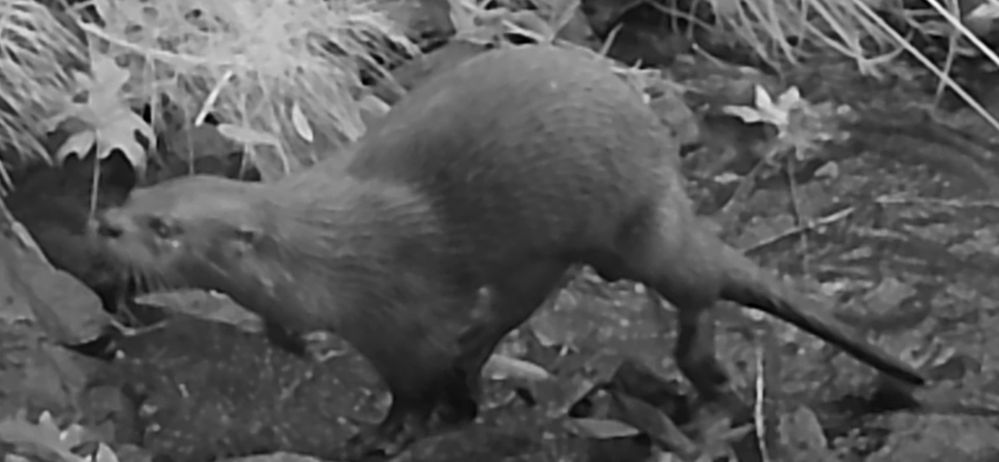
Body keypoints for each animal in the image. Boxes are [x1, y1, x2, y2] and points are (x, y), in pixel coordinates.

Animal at [94, 44, 926, 460]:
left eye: (164, 228)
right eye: (139, 197)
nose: (104, 223)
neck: (326, 258)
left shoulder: (403, 315)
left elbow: (410, 385)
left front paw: (384, 436)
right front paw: (289, 342)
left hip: (635, 231)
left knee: (694, 284)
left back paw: (701, 372)